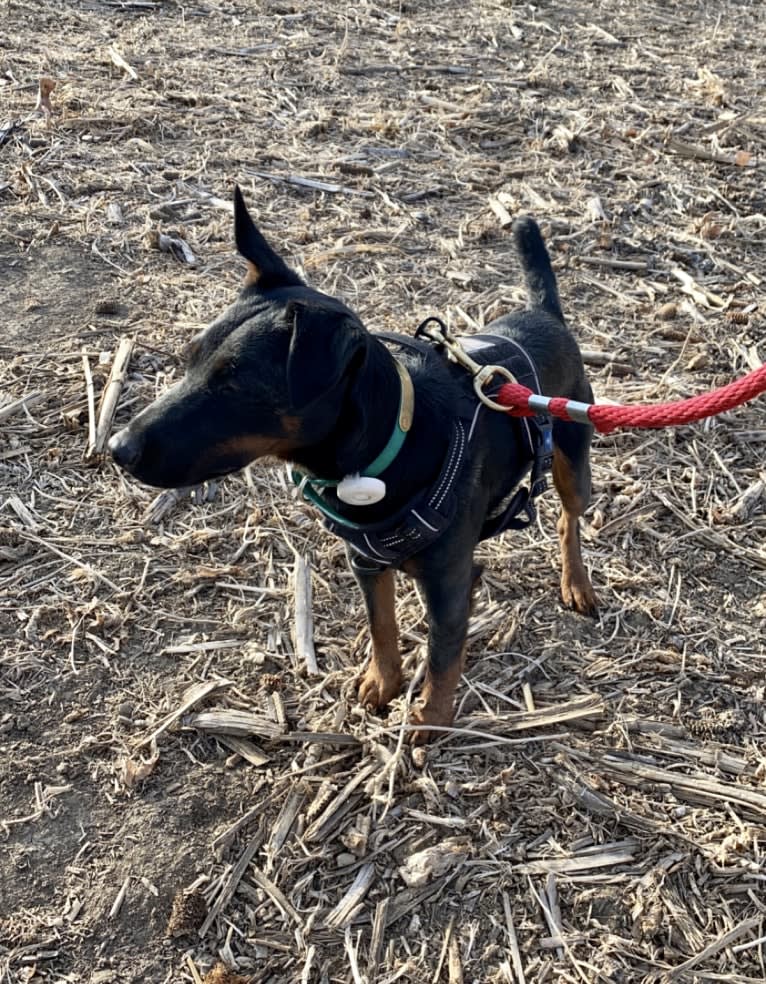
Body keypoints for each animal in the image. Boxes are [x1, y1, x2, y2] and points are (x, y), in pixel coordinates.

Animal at [109, 188, 600, 740]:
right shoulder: (365, 561)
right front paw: (382, 683)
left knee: (569, 518)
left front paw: (430, 720)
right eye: (187, 357)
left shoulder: (446, 587)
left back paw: (576, 582)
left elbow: (442, 657)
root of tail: (546, 315)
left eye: (235, 384)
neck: (385, 450)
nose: (118, 447)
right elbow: (381, 625)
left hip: (573, 458)